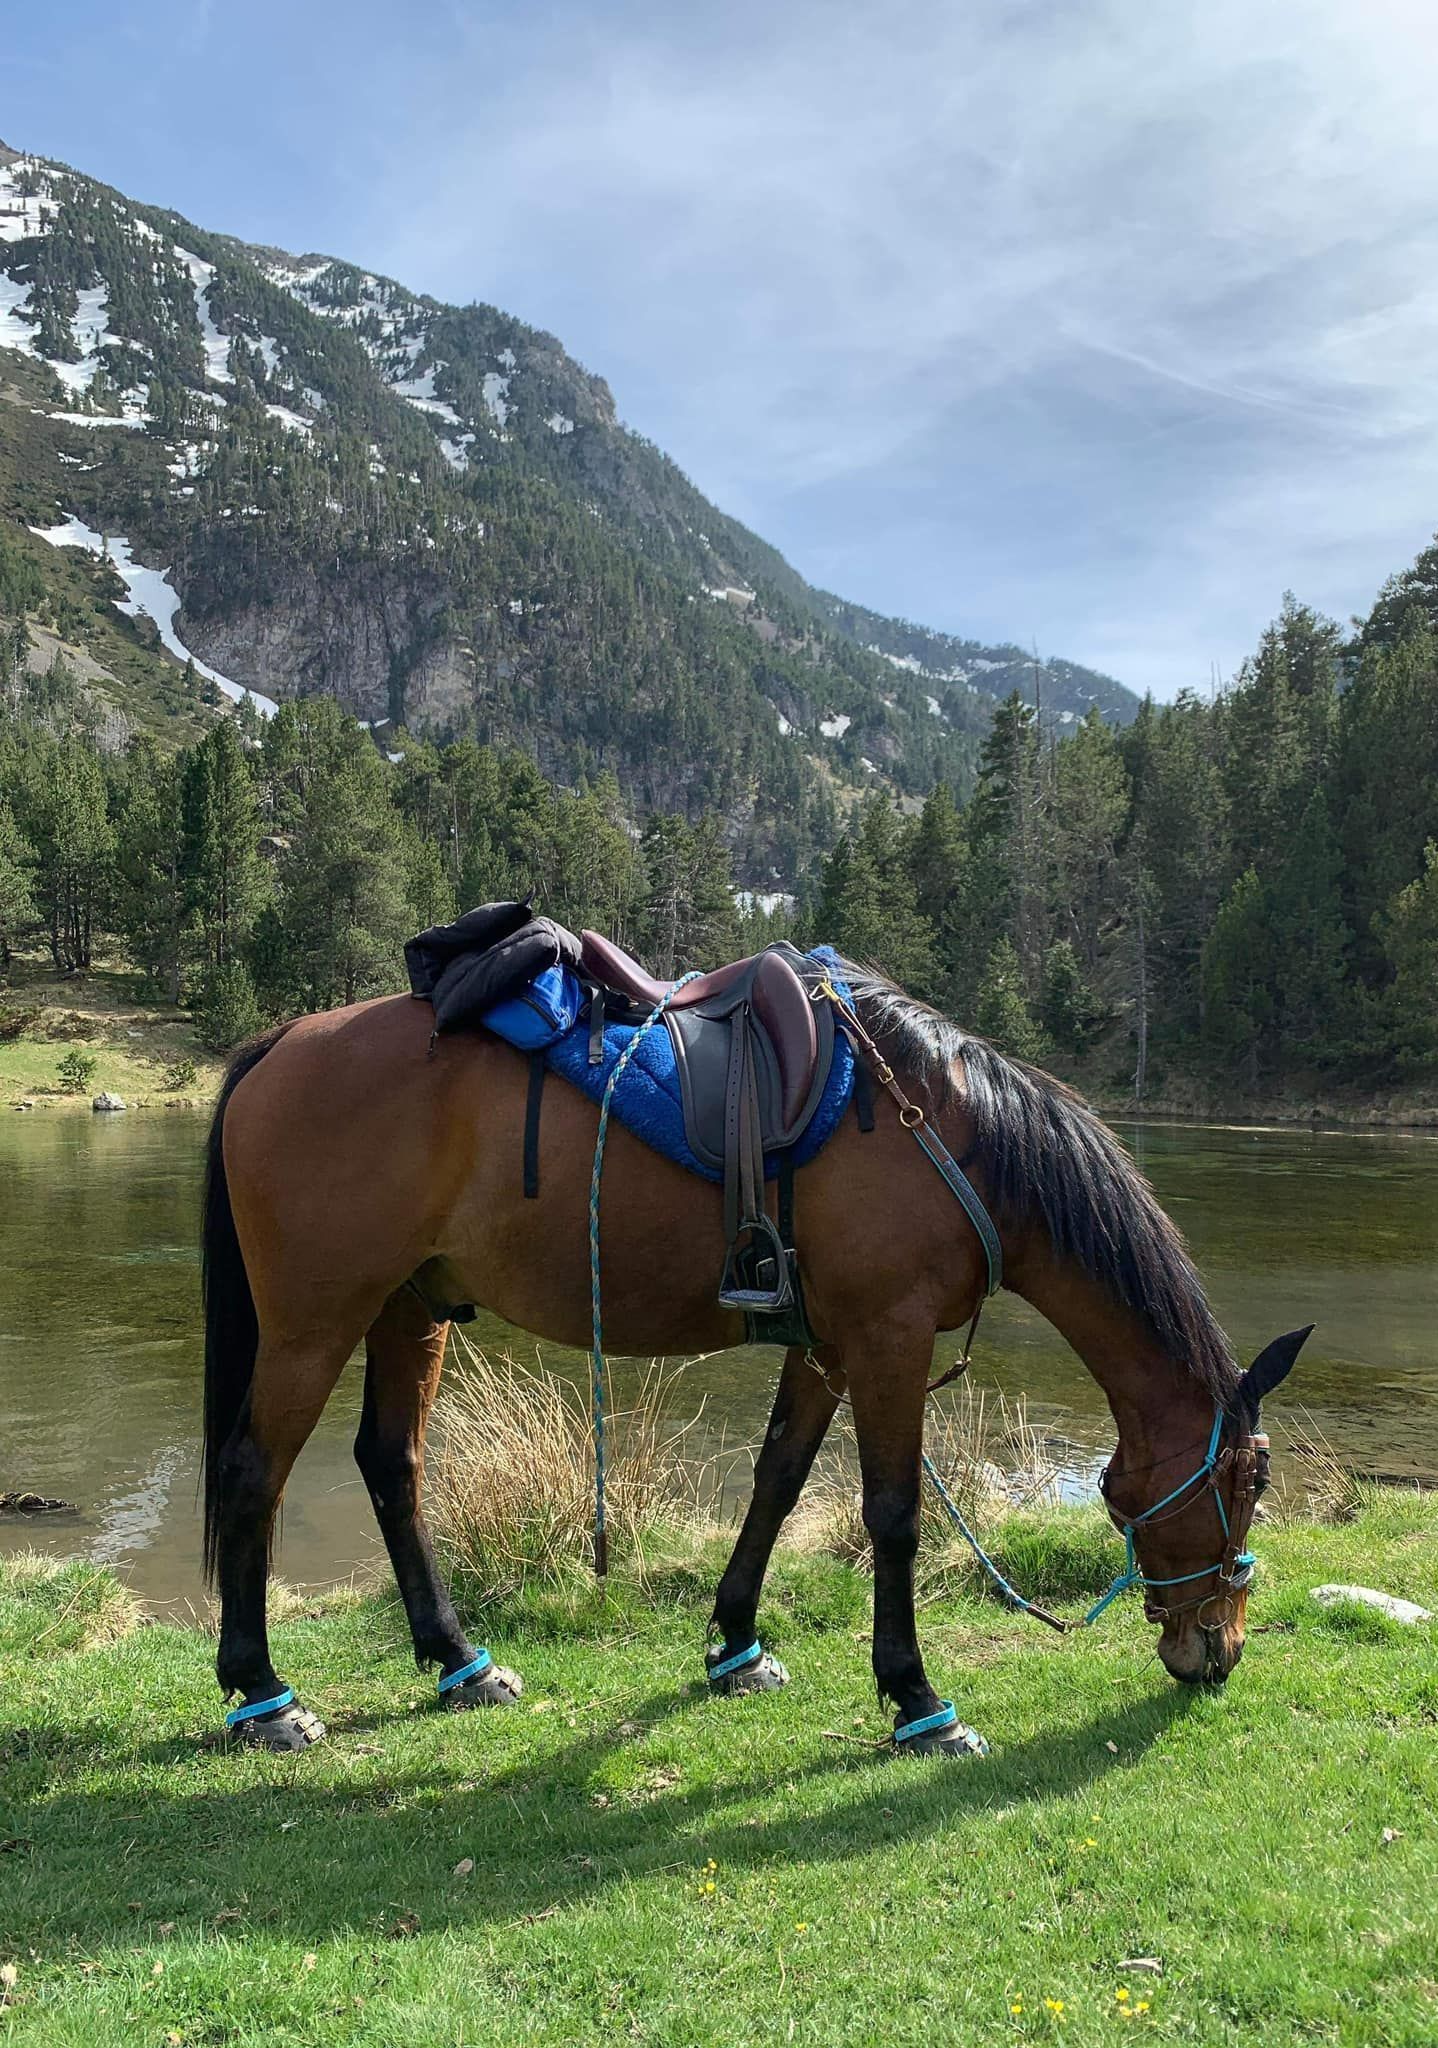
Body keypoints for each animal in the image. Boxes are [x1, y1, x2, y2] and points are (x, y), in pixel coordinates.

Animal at [200, 958, 1307, 1754]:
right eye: (1246, 1484)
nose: (1219, 1650)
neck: (948, 1131)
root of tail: (283, 1040)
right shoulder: (889, 1336)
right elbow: (892, 1516)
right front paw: (916, 1697)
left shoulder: (826, 1346)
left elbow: (777, 1478)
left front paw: (735, 1643)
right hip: (313, 1322)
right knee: (254, 1472)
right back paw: (263, 1695)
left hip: (410, 1305)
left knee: (392, 1464)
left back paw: (458, 1660)